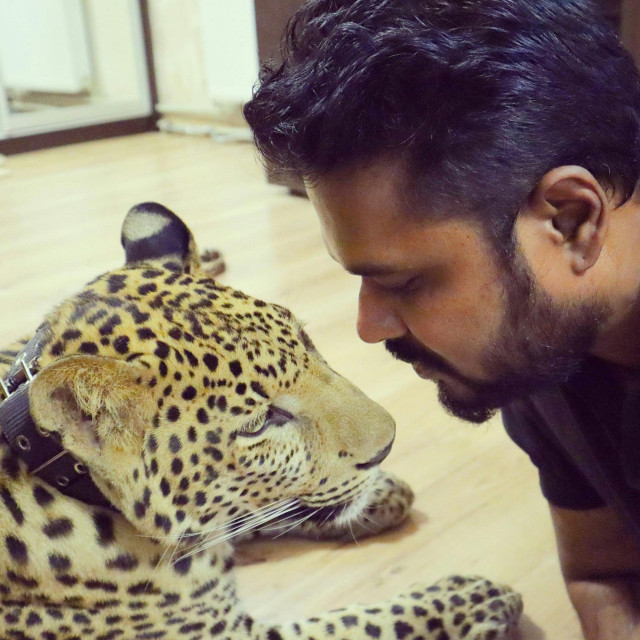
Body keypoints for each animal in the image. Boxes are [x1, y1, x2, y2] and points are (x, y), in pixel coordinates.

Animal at [0, 202, 522, 640]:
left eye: (307, 343)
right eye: (261, 424)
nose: (387, 445)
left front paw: (384, 493)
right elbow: (356, 623)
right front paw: (472, 600)